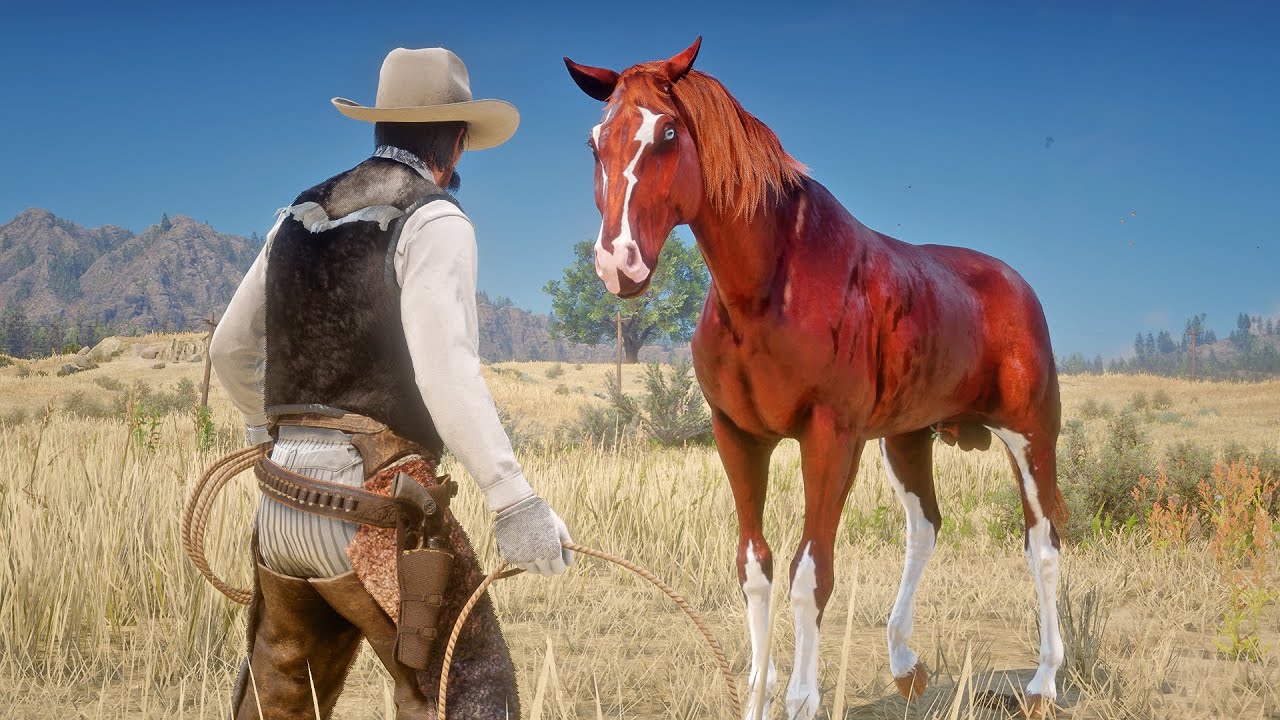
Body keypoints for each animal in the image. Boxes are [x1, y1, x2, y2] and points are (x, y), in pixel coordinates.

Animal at [564, 38, 1065, 719]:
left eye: (667, 132)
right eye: (596, 141)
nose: (619, 262)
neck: (772, 286)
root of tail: (1018, 288)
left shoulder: (830, 439)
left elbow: (811, 573)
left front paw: (802, 699)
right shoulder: (739, 437)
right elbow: (756, 567)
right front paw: (757, 693)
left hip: (1029, 437)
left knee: (1043, 544)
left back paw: (1044, 682)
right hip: (906, 440)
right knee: (924, 529)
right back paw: (905, 663)